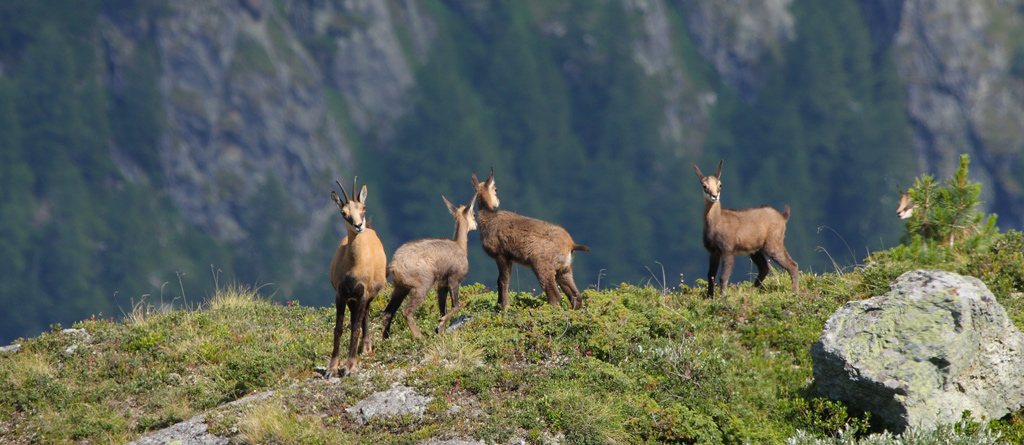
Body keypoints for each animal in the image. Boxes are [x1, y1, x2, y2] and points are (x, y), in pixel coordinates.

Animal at [325, 178, 387, 378]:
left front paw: (350, 367)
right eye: (343, 213)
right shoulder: (341, 294)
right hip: (352, 299)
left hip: (369, 294)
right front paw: (332, 368)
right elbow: (338, 328)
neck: (353, 267)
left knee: (363, 316)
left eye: (363, 207)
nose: (359, 225)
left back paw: (366, 348)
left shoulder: (362, 292)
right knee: (359, 316)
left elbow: (355, 328)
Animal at [381, 193, 478, 339]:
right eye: (473, 214)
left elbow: (443, 308)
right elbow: (456, 305)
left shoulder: (442, 284)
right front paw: (440, 324)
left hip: (400, 287)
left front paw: (440, 329)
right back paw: (419, 337)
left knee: (388, 313)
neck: (460, 245)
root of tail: (393, 265)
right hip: (422, 284)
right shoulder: (453, 278)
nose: (476, 224)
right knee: (406, 311)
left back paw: (385, 340)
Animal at [470, 168, 589, 310]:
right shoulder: (507, 257)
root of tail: (571, 245)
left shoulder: (502, 254)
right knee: (576, 295)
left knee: (556, 295)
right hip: (564, 269)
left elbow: (503, 280)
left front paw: (505, 307)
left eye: (495, 189)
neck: (489, 218)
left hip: (541, 264)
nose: (497, 201)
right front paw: (500, 305)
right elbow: (500, 280)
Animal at [692, 160, 799, 298]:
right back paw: (751, 291)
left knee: (792, 264)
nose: (714, 196)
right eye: (704, 186)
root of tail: (782, 217)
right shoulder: (713, 251)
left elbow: (723, 276)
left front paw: (722, 297)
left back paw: (794, 292)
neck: (716, 223)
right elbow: (710, 275)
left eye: (720, 184)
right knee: (764, 267)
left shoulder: (728, 249)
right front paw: (709, 297)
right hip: (756, 249)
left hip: (773, 243)